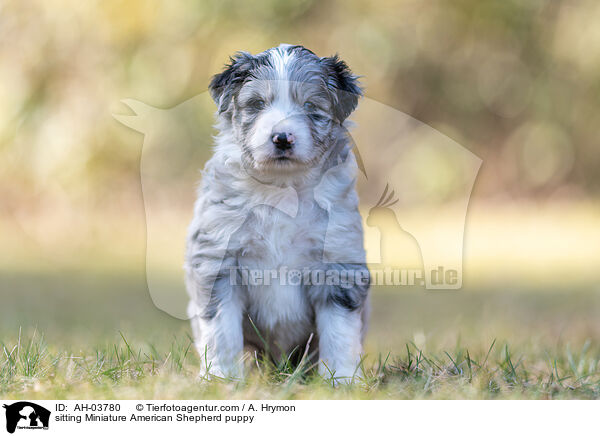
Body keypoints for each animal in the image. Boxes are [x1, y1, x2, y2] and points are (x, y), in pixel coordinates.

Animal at [185, 44, 368, 384]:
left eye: (310, 106)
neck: (282, 190)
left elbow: (339, 332)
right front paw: (221, 379)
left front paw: (342, 380)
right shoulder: (219, 261)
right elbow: (221, 331)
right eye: (257, 104)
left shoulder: (337, 263)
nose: (282, 138)